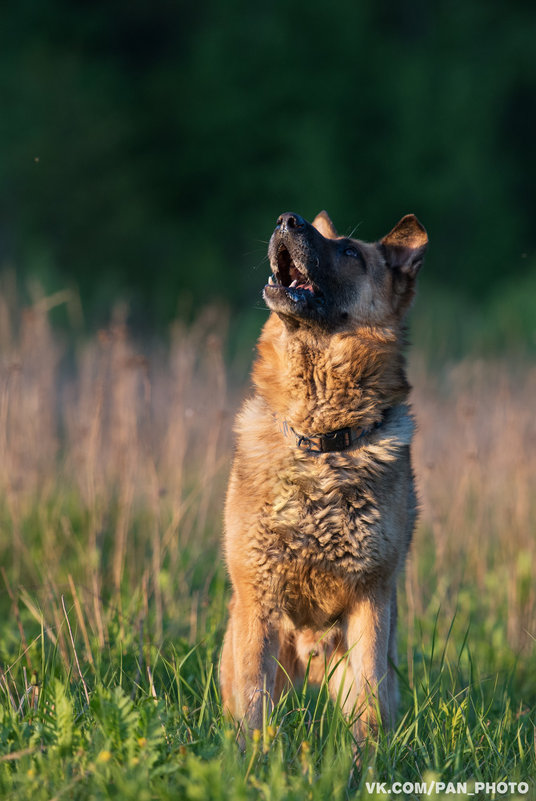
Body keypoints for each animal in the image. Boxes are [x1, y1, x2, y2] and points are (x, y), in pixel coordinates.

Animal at [221, 209, 428, 740]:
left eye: (350, 251)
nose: (286, 219)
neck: (321, 445)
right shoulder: (259, 598)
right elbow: (253, 706)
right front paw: (252, 756)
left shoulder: (371, 599)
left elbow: (369, 711)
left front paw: (368, 759)